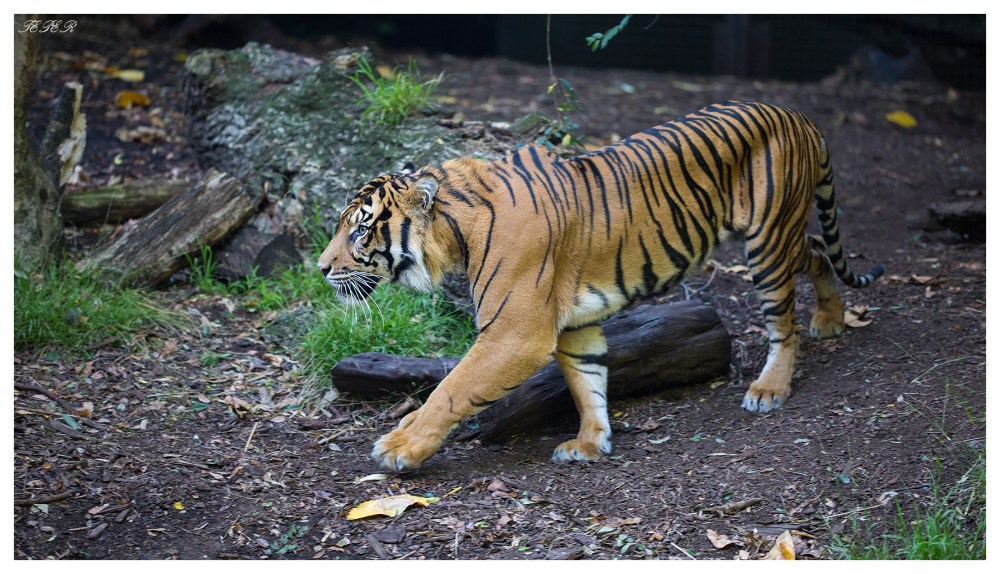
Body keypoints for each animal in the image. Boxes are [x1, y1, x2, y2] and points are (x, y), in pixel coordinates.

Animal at [317, 101, 885, 472]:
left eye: (360, 229)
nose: (321, 269)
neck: (458, 235)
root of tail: (798, 115)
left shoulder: (515, 333)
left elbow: (451, 389)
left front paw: (400, 448)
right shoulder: (574, 323)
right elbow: (587, 382)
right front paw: (591, 443)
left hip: (766, 241)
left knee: (783, 322)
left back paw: (770, 388)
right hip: (783, 235)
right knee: (816, 250)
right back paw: (831, 319)